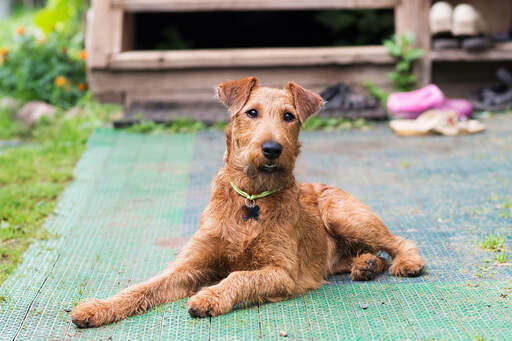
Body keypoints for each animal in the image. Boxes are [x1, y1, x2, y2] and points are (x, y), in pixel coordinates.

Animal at [71, 77, 424, 326]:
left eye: (288, 116)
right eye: (251, 113)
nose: (272, 149)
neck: (251, 197)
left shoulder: (282, 271)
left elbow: (240, 276)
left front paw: (208, 298)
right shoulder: (189, 266)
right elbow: (143, 287)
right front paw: (96, 308)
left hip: (343, 214)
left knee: (398, 242)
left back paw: (405, 262)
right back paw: (365, 265)